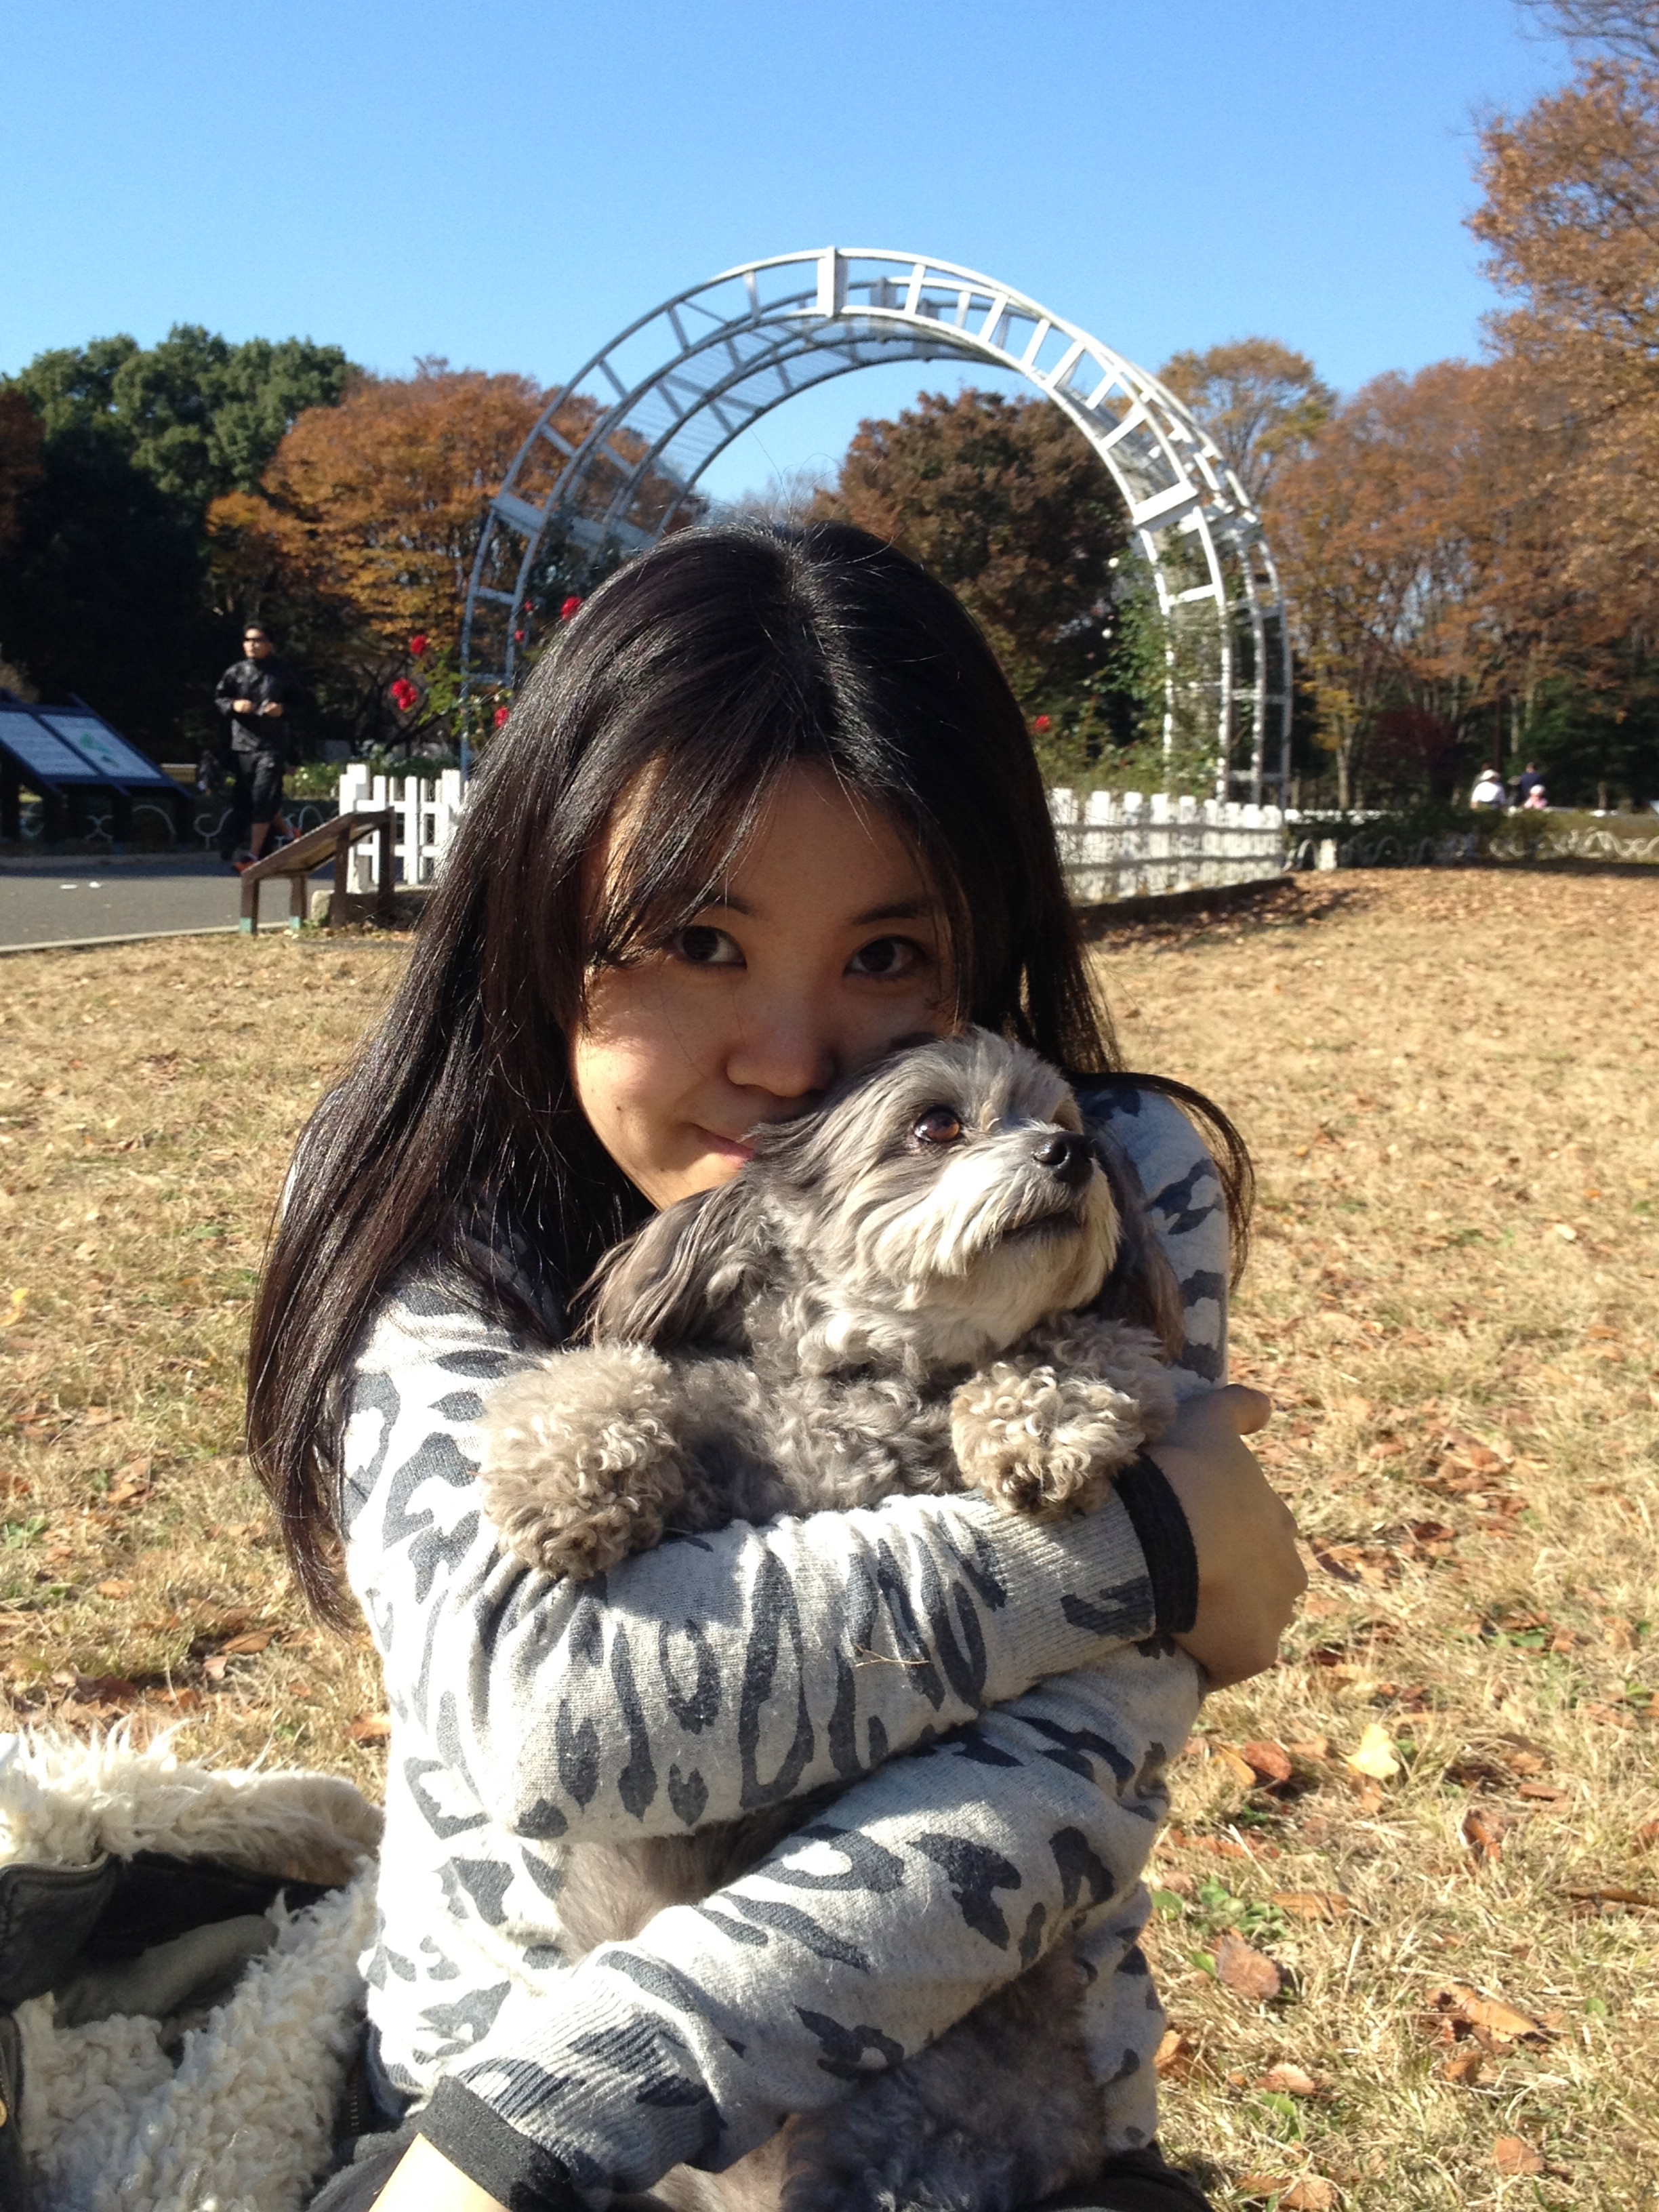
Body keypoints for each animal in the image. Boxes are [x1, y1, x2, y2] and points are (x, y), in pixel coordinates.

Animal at [478, 1030, 1182, 2212]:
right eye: (937, 1124)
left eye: (1063, 1117)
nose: (1072, 1154)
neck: (876, 1390)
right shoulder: (722, 1429)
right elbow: (615, 1371)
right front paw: (566, 1478)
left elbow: (1088, 1348)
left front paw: (1037, 1424)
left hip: (920, 2137)